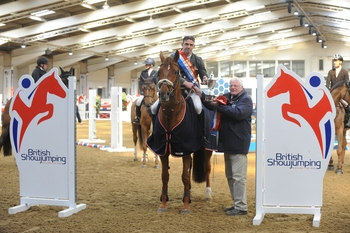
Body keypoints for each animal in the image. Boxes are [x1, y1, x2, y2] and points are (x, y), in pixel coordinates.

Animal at [146, 51, 209, 213]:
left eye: (175, 72)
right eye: (159, 72)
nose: (163, 95)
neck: (170, 113)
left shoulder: (185, 149)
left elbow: (185, 177)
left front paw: (185, 205)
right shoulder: (163, 149)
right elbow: (165, 176)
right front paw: (163, 203)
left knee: (203, 169)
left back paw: (203, 195)